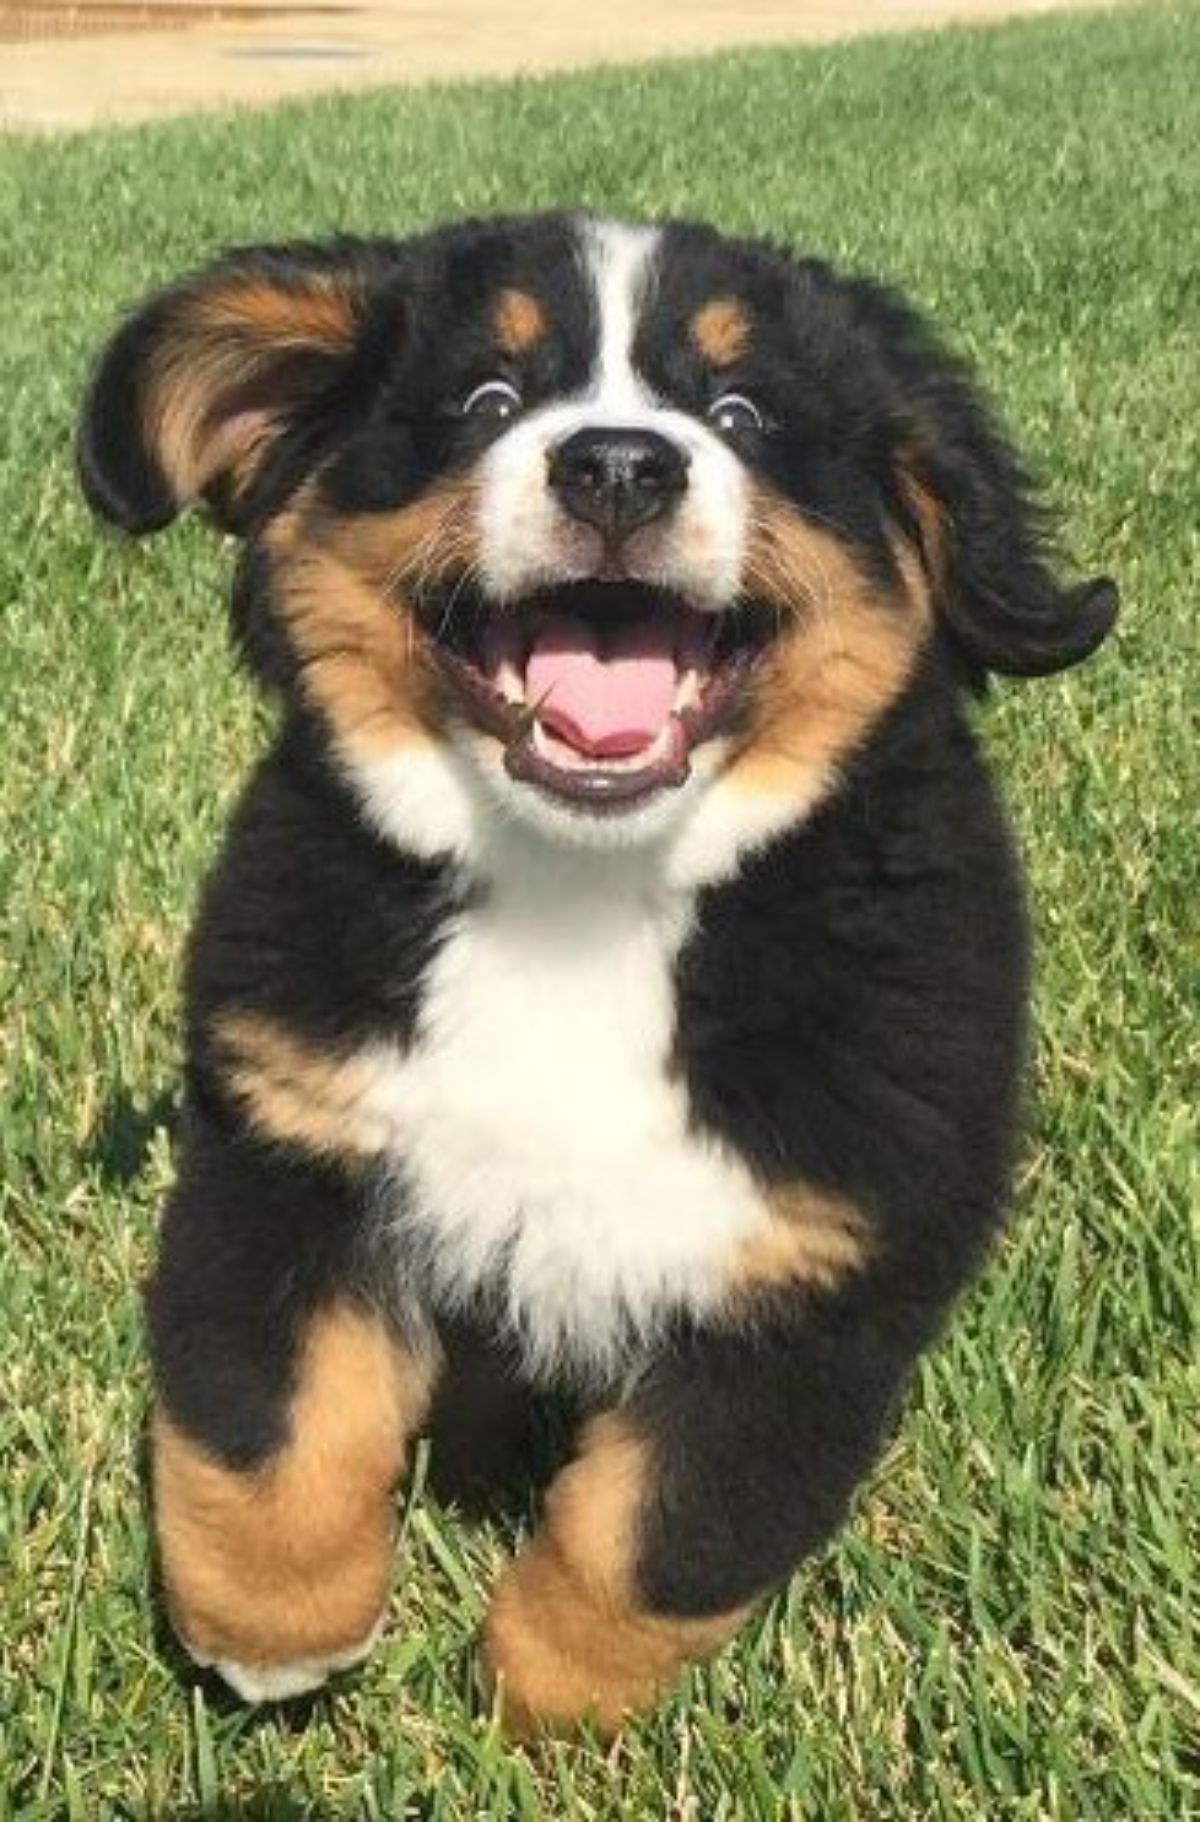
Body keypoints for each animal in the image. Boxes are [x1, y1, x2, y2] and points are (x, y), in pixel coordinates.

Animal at [79, 213, 1121, 1734]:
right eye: (485, 399)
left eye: (741, 415)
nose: (621, 462)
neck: (580, 894)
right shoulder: (291, 1148)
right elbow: (273, 1424)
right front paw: (272, 1635)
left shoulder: (815, 1276)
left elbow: (651, 1537)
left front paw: (534, 1704)